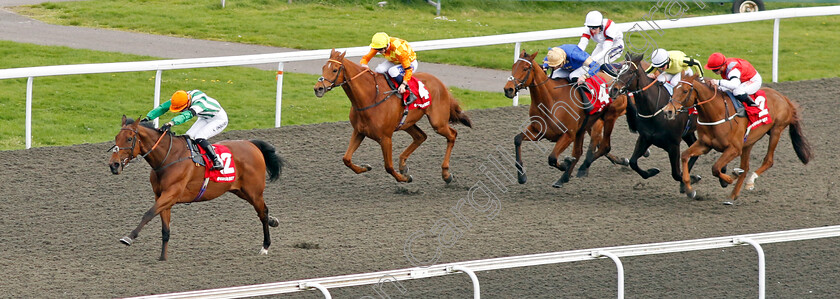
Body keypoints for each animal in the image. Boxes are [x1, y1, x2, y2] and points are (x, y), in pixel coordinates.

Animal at [107, 116, 286, 262]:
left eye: (129, 139)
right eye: (116, 138)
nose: (113, 165)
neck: (168, 157)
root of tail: (251, 144)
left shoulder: (171, 194)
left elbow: (148, 213)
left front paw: (129, 237)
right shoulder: (162, 197)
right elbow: (165, 229)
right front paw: (163, 257)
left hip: (254, 191)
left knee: (262, 212)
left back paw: (265, 246)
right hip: (240, 190)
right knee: (263, 212)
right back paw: (273, 221)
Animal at [316, 49, 472, 184]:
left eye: (334, 69)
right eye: (323, 67)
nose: (318, 88)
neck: (371, 97)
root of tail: (441, 83)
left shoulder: (385, 138)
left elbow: (388, 167)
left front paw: (405, 178)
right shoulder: (359, 131)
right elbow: (346, 159)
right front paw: (365, 167)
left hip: (438, 122)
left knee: (452, 135)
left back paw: (446, 174)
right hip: (406, 123)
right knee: (421, 136)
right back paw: (403, 165)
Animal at [502, 50, 628, 189]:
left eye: (525, 68)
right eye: (513, 66)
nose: (508, 89)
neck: (551, 100)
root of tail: (617, 82)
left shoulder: (568, 134)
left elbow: (552, 158)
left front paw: (564, 165)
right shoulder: (538, 131)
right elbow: (517, 139)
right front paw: (521, 176)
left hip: (609, 117)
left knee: (604, 146)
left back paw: (582, 169)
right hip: (586, 126)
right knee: (585, 149)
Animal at [612, 53, 704, 195]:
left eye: (631, 72)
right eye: (618, 71)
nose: (613, 90)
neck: (654, 110)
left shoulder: (673, 144)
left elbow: (676, 174)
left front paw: (690, 181)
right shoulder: (645, 138)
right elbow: (633, 162)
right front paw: (652, 171)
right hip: (687, 132)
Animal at [664, 74, 812, 202]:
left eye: (684, 91)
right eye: (674, 88)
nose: (668, 111)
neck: (716, 113)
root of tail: (784, 98)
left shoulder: (734, 149)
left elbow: (716, 168)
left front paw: (729, 178)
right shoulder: (705, 144)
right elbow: (684, 155)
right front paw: (689, 189)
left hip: (776, 130)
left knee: (768, 161)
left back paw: (749, 182)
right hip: (748, 143)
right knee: (745, 167)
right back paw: (732, 196)